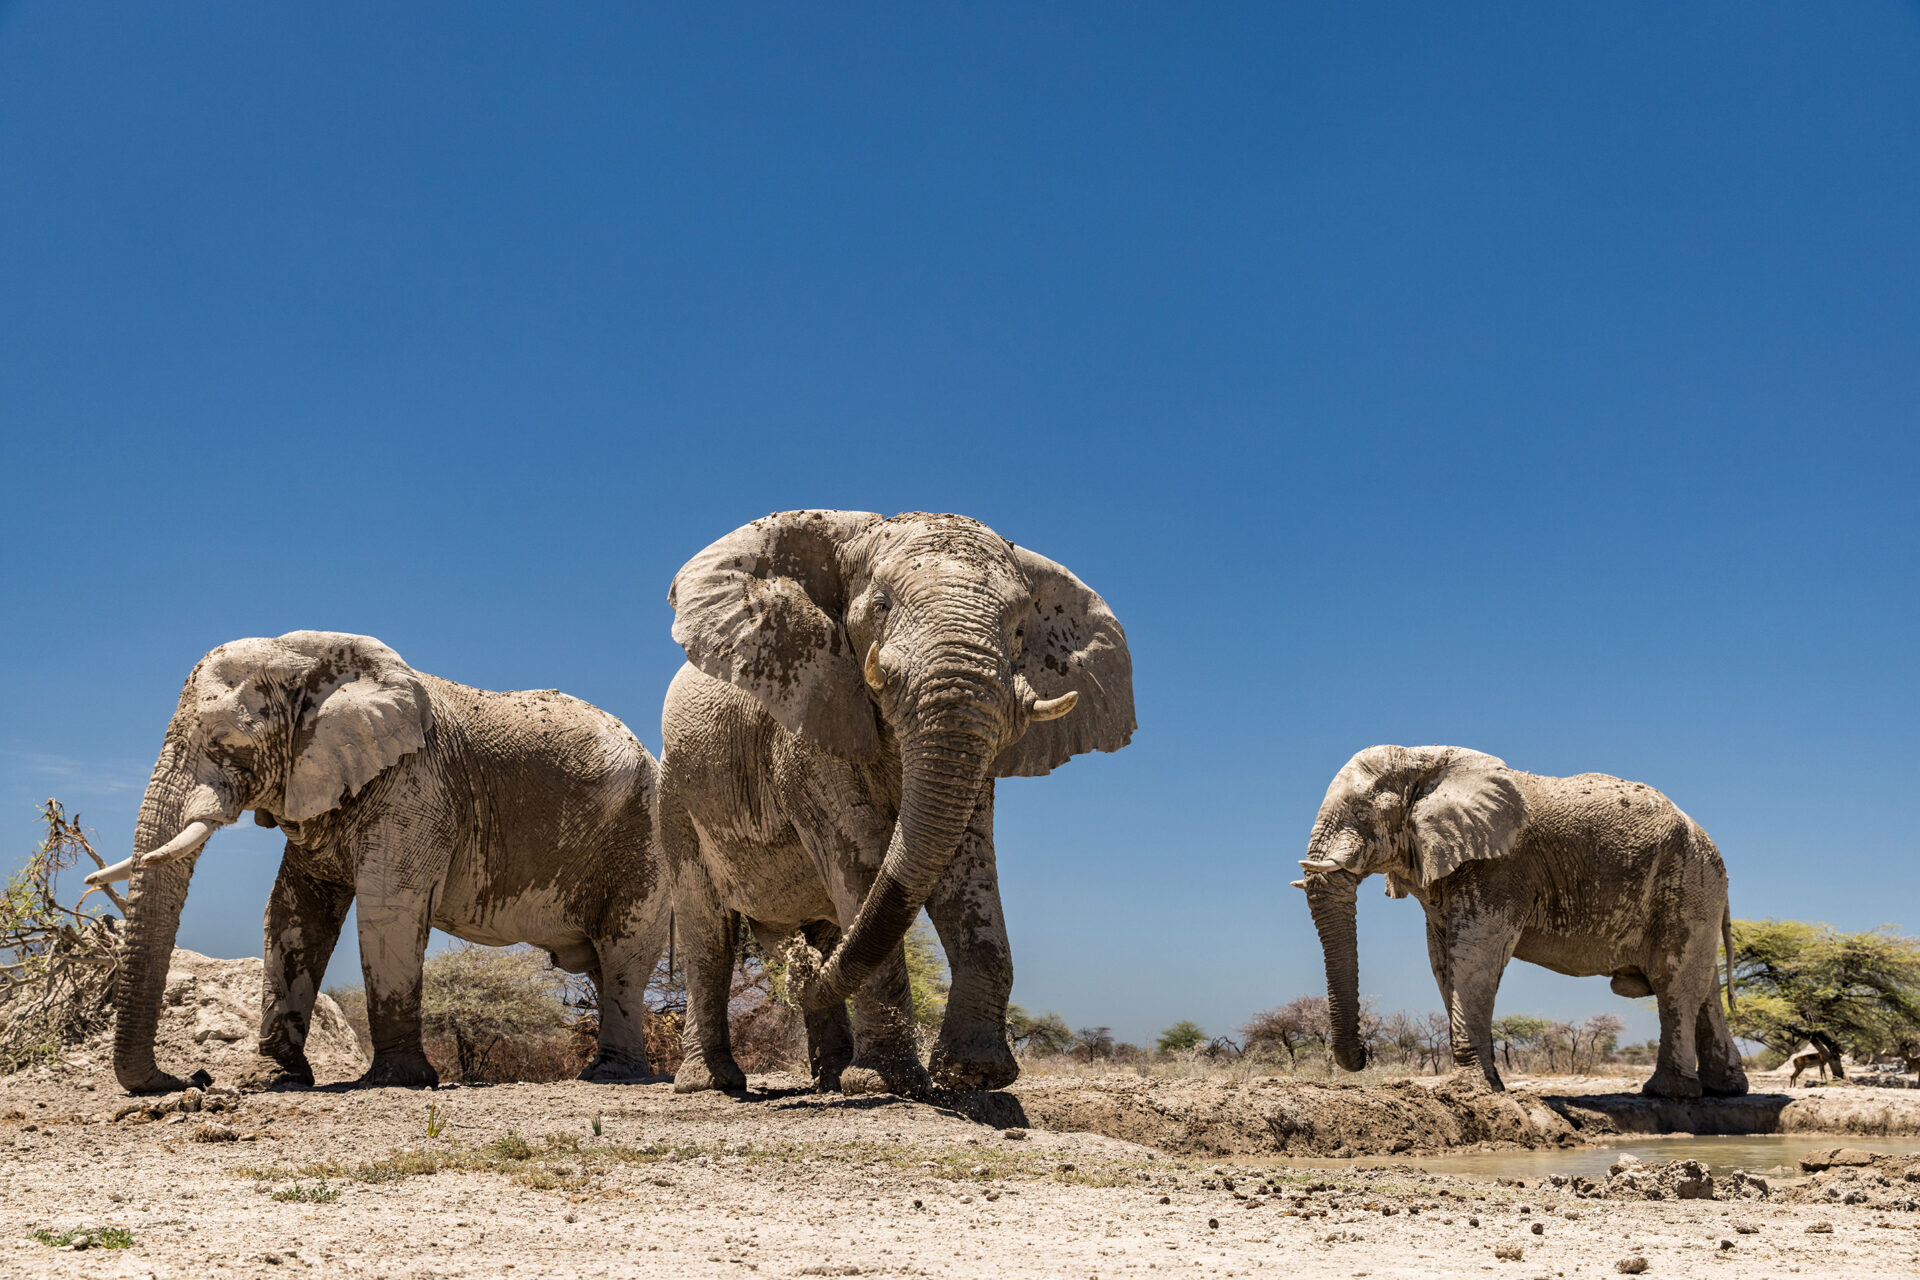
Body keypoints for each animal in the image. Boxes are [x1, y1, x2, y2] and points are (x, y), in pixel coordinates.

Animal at [87, 631, 668, 1093]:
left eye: (225, 742)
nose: (193, 1079)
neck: (303, 659)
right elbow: (293, 914)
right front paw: (273, 1079)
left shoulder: (417, 784)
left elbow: (389, 909)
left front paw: (397, 1081)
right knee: (600, 963)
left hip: (644, 836)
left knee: (622, 953)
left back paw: (609, 1075)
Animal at [658, 510, 1134, 1096]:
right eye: (881, 605)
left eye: (1021, 630)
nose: (798, 968)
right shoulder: (808, 724)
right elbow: (860, 861)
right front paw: (887, 1083)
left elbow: (965, 870)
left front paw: (974, 1076)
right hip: (676, 793)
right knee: (710, 932)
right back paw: (712, 1083)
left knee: (826, 928)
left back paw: (830, 1071)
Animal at [1294, 745, 1746, 1099]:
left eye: (1361, 810)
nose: (1366, 1054)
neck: (1422, 759)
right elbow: (1441, 960)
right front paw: (1484, 1085)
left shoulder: (1501, 866)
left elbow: (1475, 954)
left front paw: (1473, 1090)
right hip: (1697, 888)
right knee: (1703, 983)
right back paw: (1726, 1090)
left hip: (1686, 884)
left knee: (1675, 981)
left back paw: (1669, 1092)